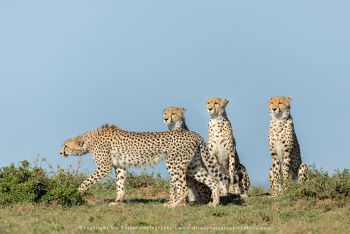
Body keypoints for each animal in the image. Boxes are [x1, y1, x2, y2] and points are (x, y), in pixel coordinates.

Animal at [60, 124, 230, 207]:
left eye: (65, 146)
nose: (60, 152)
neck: (89, 140)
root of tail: (193, 133)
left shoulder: (104, 167)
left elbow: (87, 180)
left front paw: (76, 191)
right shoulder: (120, 167)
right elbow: (120, 185)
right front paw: (117, 201)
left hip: (174, 164)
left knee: (183, 187)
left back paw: (174, 205)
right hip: (193, 166)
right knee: (212, 180)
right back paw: (214, 203)